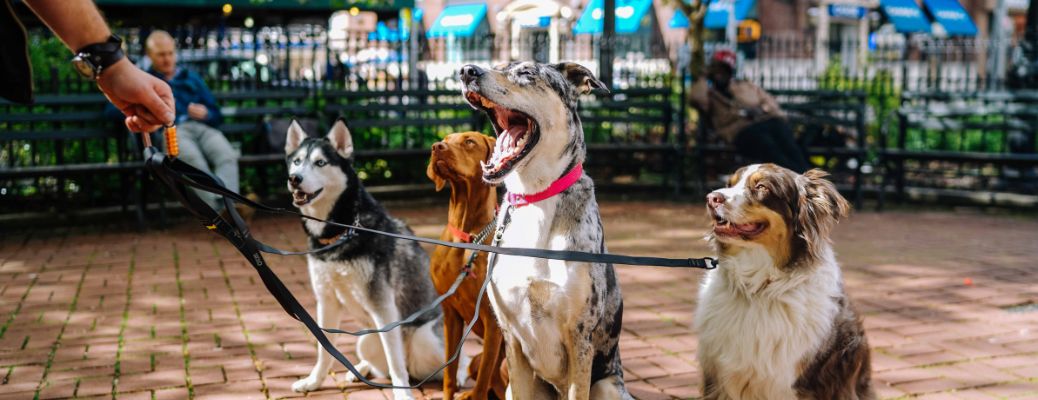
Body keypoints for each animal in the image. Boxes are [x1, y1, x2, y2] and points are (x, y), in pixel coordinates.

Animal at [427, 132, 508, 396]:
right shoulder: (450, 312)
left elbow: (482, 385)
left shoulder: (492, 321)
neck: (468, 235)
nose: (436, 147)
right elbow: (449, 375)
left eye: (469, 141)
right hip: (474, 361)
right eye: (445, 138)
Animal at [462, 62, 631, 398]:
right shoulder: (511, 338)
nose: (466, 70)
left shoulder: (580, 338)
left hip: (608, 386)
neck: (535, 197)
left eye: (527, 73)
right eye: (497, 65)